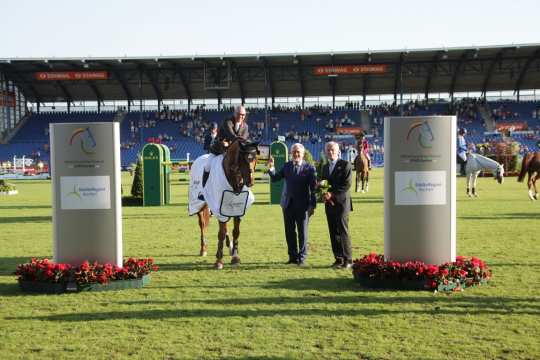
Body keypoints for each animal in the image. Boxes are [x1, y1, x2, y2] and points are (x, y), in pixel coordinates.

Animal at [189, 139, 258, 268]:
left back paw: (229, 247)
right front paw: (219, 261)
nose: (250, 181)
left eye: (255, 157)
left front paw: (235, 257)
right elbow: (221, 233)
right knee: (202, 224)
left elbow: (236, 232)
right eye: (243, 158)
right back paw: (203, 249)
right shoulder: (220, 207)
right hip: (199, 204)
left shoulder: (237, 208)